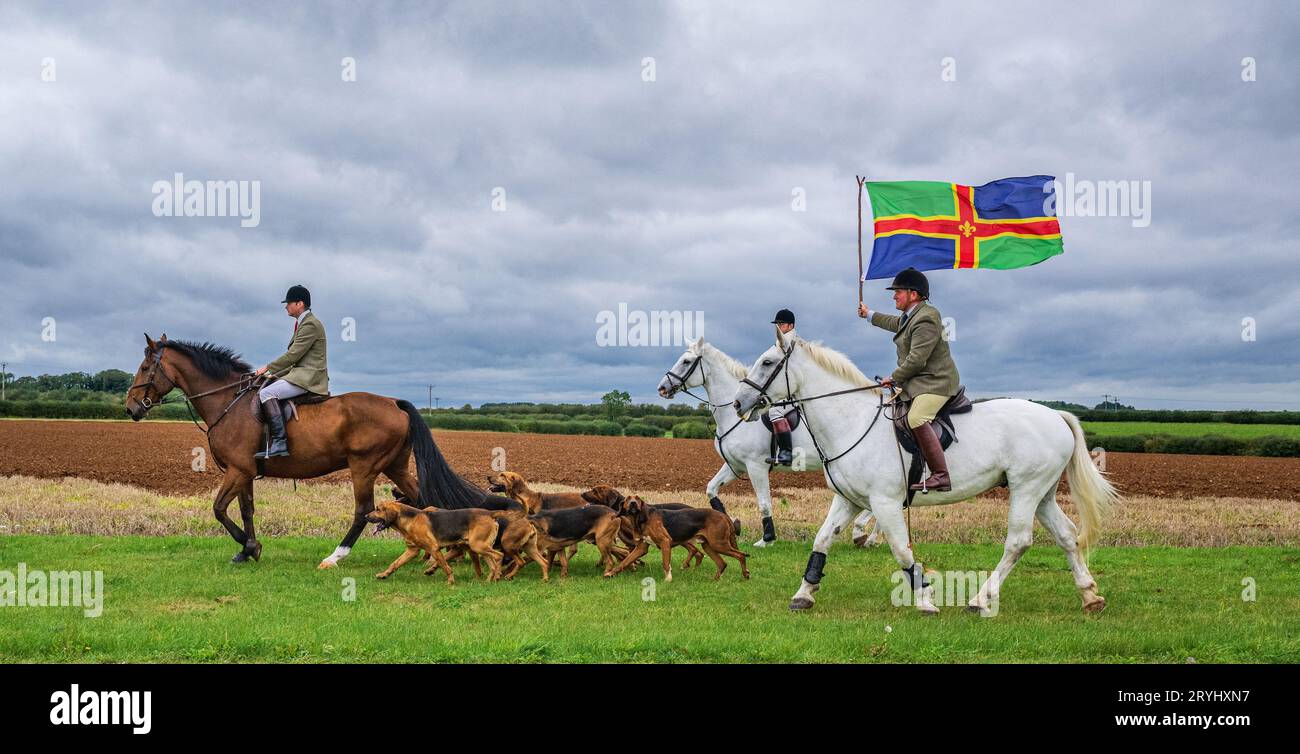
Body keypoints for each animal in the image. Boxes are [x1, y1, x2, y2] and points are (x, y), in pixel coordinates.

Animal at [124, 335, 488, 566]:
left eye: (145, 368)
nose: (131, 407)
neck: (228, 402)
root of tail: (393, 403)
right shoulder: (245, 473)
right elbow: (245, 510)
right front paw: (248, 550)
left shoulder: (238, 470)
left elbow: (218, 509)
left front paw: (250, 545)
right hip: (394, 465)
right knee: (419, 498)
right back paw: (426, 551)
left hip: (364, 468)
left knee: (363, 511)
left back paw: (336, 556)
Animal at [655, 340, 878, 548]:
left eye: (686, 361)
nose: (662, 388)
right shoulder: (735, 465)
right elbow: (711, 489)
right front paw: (732, 524)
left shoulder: (756, 466)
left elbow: (764, 503)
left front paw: (767, 538)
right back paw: (867, 537)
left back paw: (864, 535)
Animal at [733, 332, 1118, 616]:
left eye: (767, 362)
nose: (738, 404)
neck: (852, 421)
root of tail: (1056, 416)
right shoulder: (849, 500)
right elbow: (822, 540)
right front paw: (804, 593)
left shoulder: (884, 502)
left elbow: (901, 550)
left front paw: (924, 598)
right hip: (1042, 493)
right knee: (1066, 535)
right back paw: (1090, 596)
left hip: (1026, 488)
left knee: (1018, 541)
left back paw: (980, 599)